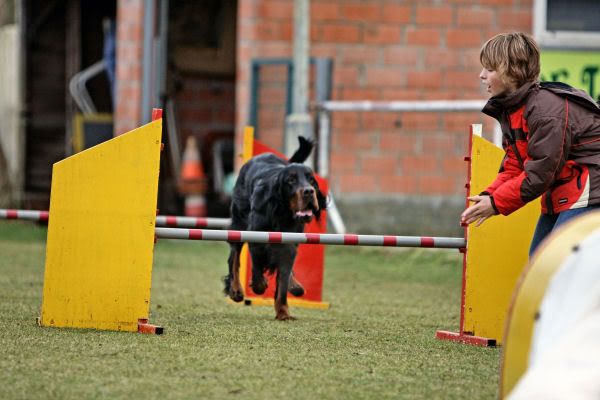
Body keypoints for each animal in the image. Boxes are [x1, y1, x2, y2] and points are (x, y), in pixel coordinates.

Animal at [223, 137, 327, 320]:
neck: (282, 212)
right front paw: (259, 284)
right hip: (239, 222)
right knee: (234, 256)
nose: (309, 191)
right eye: (291, 180)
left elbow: (283, 281)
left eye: (312, 180)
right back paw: (236, 290)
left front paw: (283, 312)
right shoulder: (256, 238)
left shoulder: (289, 245)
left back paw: (295, 285)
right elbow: (257, 268)